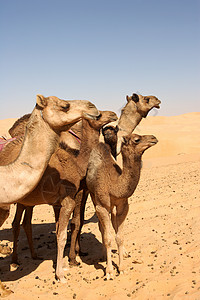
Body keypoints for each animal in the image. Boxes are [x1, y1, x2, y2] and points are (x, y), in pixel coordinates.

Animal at [6, 109, 117, 282]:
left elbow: (62, 229)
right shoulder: (68, 200)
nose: (113, 114)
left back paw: (30, 256)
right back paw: (15, 261)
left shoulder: (62, 201)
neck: (76, 162)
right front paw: (62, 273)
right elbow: (64, 233)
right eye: (98, 115)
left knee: (24, 223)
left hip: (26, 201)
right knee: (17, 224)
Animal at [86, 134, 159, 278]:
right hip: (93, 196)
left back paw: (124, 252)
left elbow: (120, 237)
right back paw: (103, 253)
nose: (154, 138)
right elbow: (107, 237)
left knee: (113, 222)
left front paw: (122, 267)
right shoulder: (101, 206)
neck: (114, 185)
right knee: (102, 227)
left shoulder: (123, 206)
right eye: (136, 139)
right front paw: (109, 271)